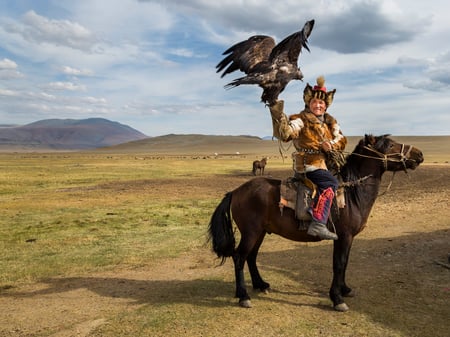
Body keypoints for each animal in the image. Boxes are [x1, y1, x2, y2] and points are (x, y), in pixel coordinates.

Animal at [209, 133, 424, 310]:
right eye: (389, 145)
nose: (420, 154)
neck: (352, 193)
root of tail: (236, 192)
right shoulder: (344, 236)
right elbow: (339, 263)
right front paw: (337, 299)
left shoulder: (348, 239)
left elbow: (344, 263)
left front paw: (344, 289)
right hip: (251, 232)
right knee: (239, 257)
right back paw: (243, 296)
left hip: (260, 232)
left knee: (251, 257)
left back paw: (261, 285)